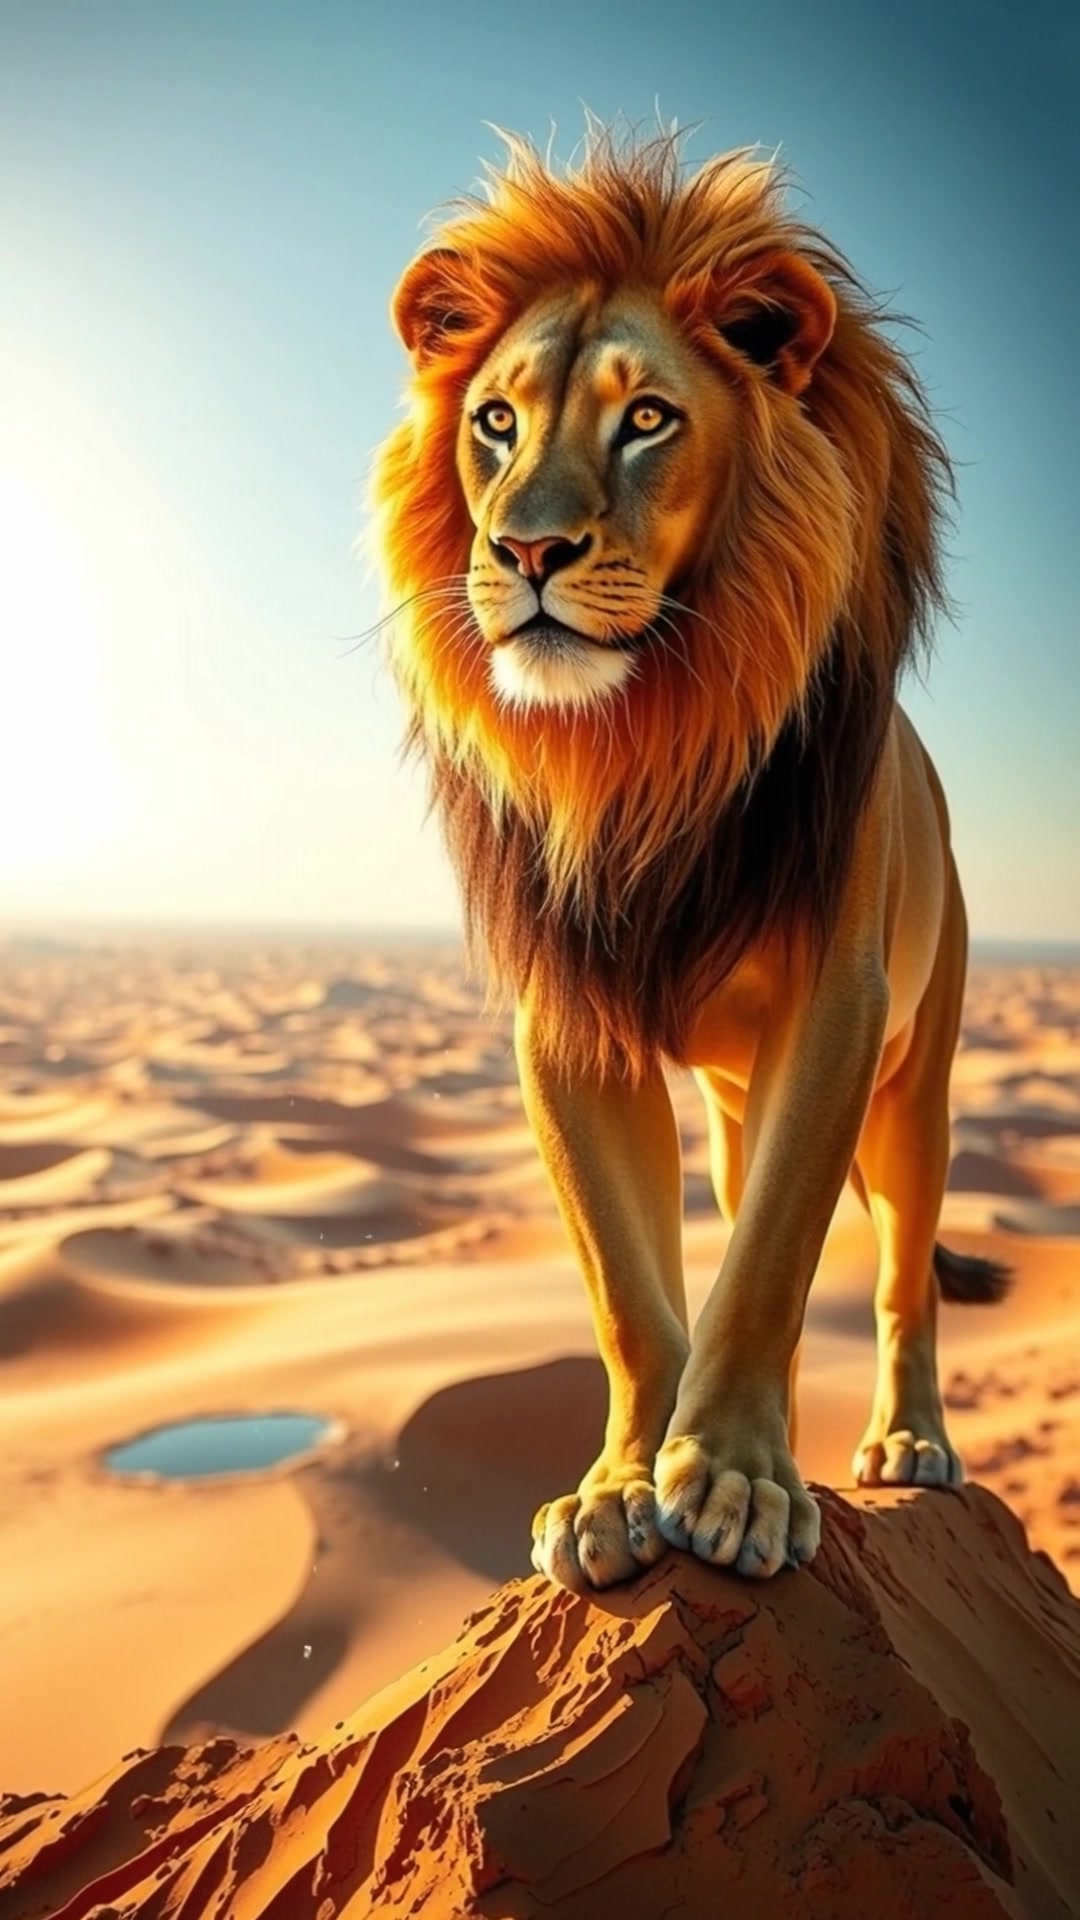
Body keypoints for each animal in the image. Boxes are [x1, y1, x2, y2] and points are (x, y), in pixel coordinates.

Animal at [369, 124, 1009, 1591]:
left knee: (902, 1274)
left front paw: (730, 1480)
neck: (645, 743)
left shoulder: (838, 1004)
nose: (526, 550)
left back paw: (910, 1444)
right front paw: (619, 1489)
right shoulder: (567, 1022)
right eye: (495, 423)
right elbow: (629, 1287)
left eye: (648, 418)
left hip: (922, 1080)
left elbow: (769, 1261)